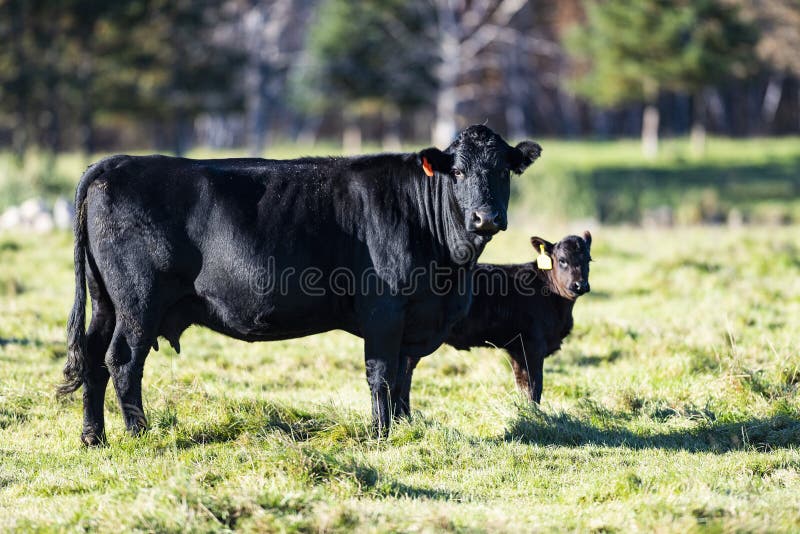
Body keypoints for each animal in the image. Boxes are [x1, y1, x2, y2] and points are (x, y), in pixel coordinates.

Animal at [57, 126, 544, 448]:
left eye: (503, 171)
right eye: (457, 172)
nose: (486, 217)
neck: (449, 272)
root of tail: (117, 162)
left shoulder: (415, 322)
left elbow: (404, 376)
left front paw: (406, 427)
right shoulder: (384, 312)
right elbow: (382, 375)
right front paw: (381, 435)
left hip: (106, 303)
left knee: (94, 360)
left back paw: (93, 438)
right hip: (138, 302)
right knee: (123, 361)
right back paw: (141, 434)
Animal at [398, 232, 592, 412]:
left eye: (588, 260)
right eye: (562, 260)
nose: (580, 285)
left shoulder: (517, 349)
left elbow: (522, 385)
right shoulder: (532, 345)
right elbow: (534, 386)